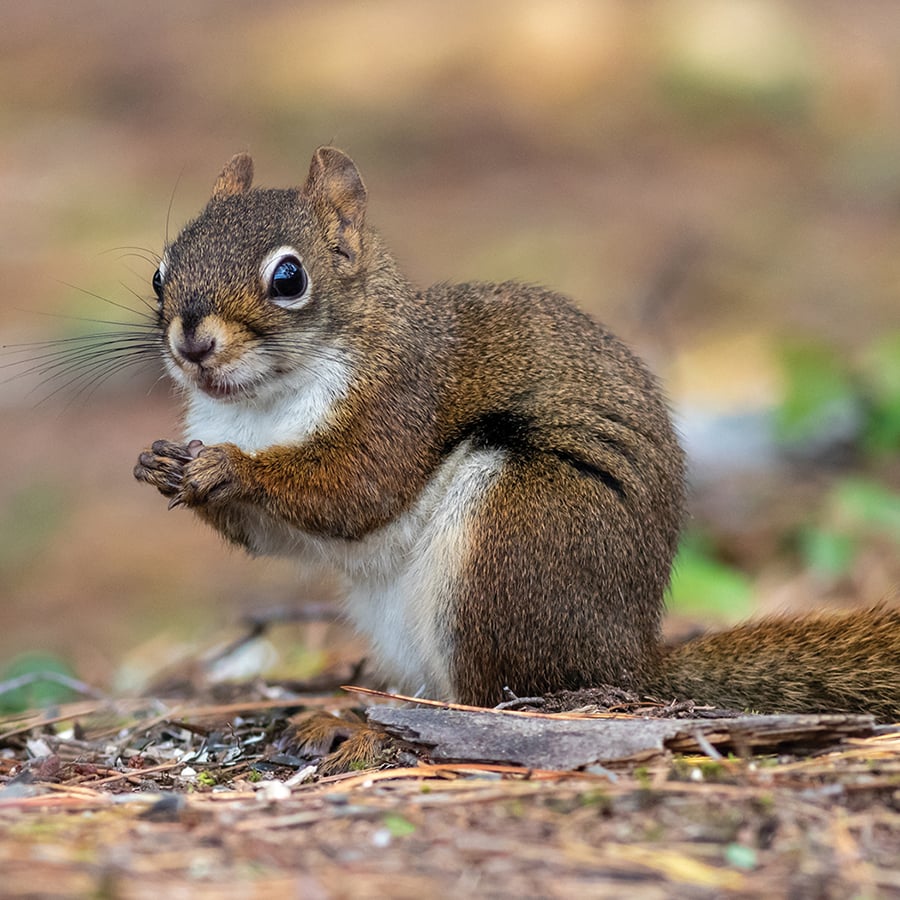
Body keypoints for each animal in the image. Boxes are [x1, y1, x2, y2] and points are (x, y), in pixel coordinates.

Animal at [134, 147, 900, 721]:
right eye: (161, 273)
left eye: (289, 277)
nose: (192, 341)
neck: (259, 406)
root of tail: (628, 659)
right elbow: (277, 538)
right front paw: (162, 466)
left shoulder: (401, 406)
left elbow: (355, 491)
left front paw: (232, 469)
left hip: (517, 531)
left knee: (499, 687)